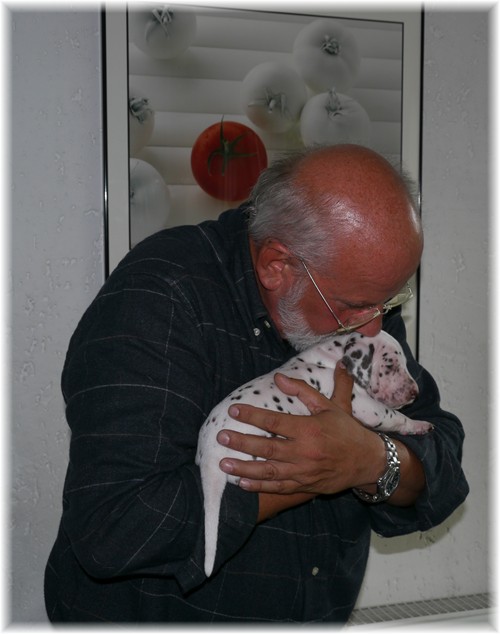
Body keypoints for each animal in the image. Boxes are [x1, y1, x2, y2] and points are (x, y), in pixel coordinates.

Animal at [196, 330, 432, 577]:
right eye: (390, 364)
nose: (415, 393)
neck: (329, 357)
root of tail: (210, 456)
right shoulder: (367, 407)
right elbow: (394, 416)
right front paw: (417, 424)